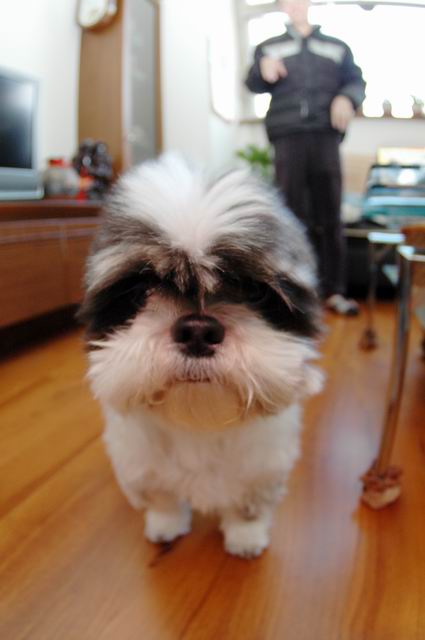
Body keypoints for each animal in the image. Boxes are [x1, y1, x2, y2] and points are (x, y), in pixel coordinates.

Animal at [79, 153, 322, 558]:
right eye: (142, 291)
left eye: (254, 292)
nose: (197, 329)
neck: (200, 423)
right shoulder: (143, 468)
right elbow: (163, 500)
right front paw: (165, 525)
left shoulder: (263, 470)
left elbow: (247, 508)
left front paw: (245, 537)